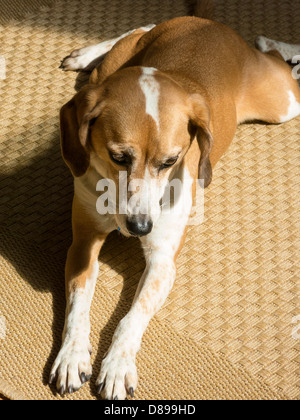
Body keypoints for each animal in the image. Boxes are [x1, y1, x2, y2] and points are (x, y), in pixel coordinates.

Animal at [49, 0, 300, 400]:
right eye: (118, 157)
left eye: (170, 161)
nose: (140, 227)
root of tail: (206, 23)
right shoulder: (83, 242)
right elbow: (77, 308)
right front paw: (72, 355)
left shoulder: (162, 262)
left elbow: (132, 317)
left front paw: (117, 364)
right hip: (105, 73)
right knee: (137, 29)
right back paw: (87, 53)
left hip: (283, 103)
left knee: (278, 60)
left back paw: (275, 44)